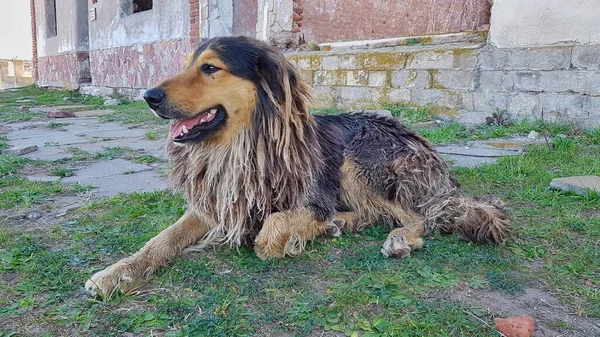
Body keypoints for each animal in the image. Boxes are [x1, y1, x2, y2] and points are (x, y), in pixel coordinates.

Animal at [84, 36, 510, 296]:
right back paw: (343, 224)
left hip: (357, 162)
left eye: (210, 68)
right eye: (188, 64)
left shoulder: (312, 196)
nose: (148, 96)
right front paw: (116, 273)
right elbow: (160, 240)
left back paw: (396, 237)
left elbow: (269, 233)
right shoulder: (217, 204)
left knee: (416, 216)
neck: (243, 147)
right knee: (377, 213)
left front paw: (299, 233)